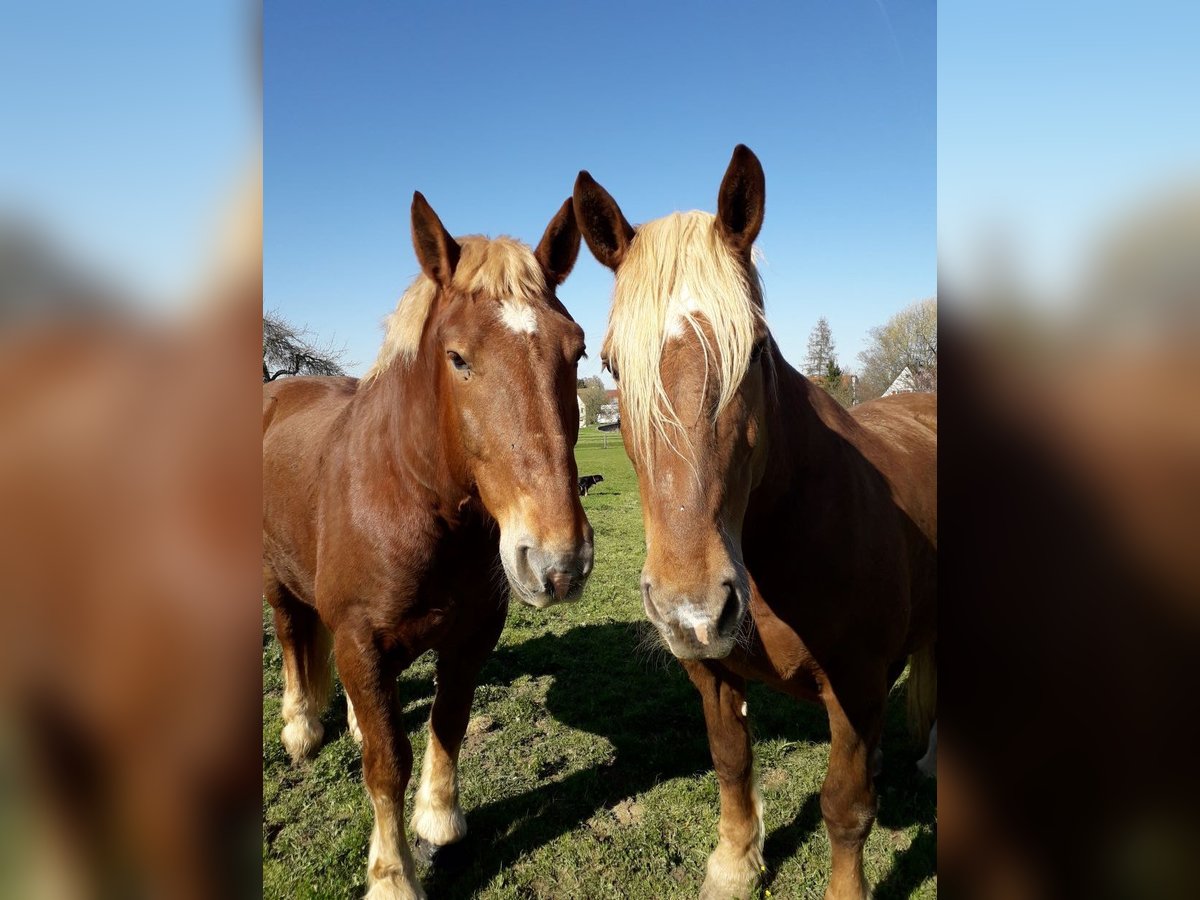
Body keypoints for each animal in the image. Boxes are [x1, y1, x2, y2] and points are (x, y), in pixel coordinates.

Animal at [266, 194, 595, 897]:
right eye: (458, 358)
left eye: (577, 352)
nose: (559, 561)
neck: (414, 504)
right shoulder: (361, 638)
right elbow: (387, 762)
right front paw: (394, 875)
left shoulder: (469, 638)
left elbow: (448, 724)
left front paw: (439, 822)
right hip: (277, 582)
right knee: (290, 635)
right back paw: (301, 726)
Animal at [573, 144, 936, 897]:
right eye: (612, 364)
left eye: (758, 350)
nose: (691, 607)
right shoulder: (712, 673)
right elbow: (732, 763)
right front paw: (735, 866)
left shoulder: (856, 688)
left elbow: (845, 807)